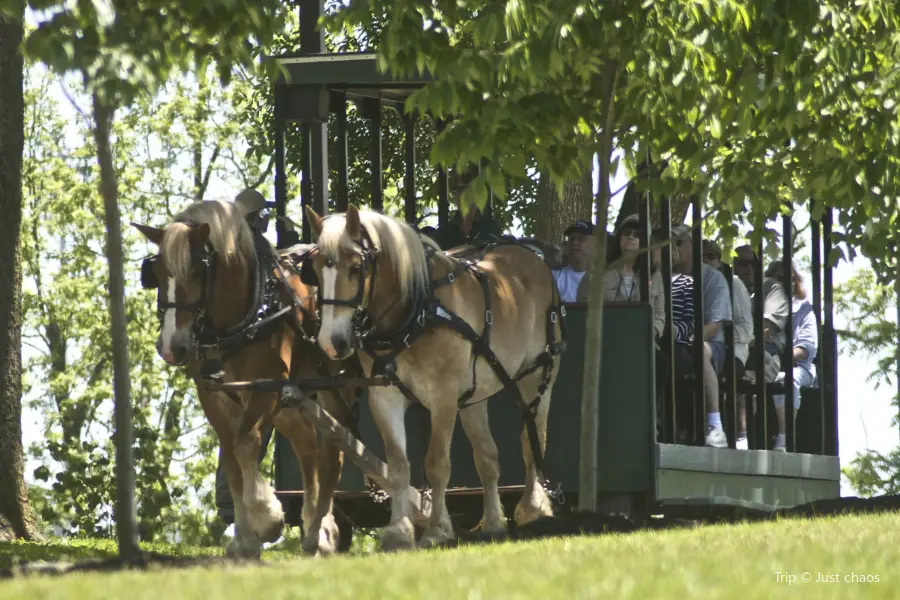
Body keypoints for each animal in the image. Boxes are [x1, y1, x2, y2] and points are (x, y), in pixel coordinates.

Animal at [132, 198, 356, 556]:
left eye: (197, 272)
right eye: (156, 273)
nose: (170, 346)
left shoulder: (266, 387)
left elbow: (246, 444)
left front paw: (266, 519)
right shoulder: (214, 394)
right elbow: (232, 456)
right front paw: (243, 538)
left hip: (330, 388)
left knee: (333, 454)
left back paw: (321, 533)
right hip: (291, 399)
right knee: (306, 443)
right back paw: (312, 524)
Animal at [302, 204, 564, 552]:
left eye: (357, 268)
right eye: (316, 270)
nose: (332, 342)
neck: (417, 315)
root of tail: (530, 256)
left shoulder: (443, 397)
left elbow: (437, 464)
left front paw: (437, 529)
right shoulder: (385, 397)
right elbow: (399, 465)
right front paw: (399, 532)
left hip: (537, 377)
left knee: (531, 441)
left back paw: (533, 507)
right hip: (474, 397)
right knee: (488, 457)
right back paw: (493, 523)